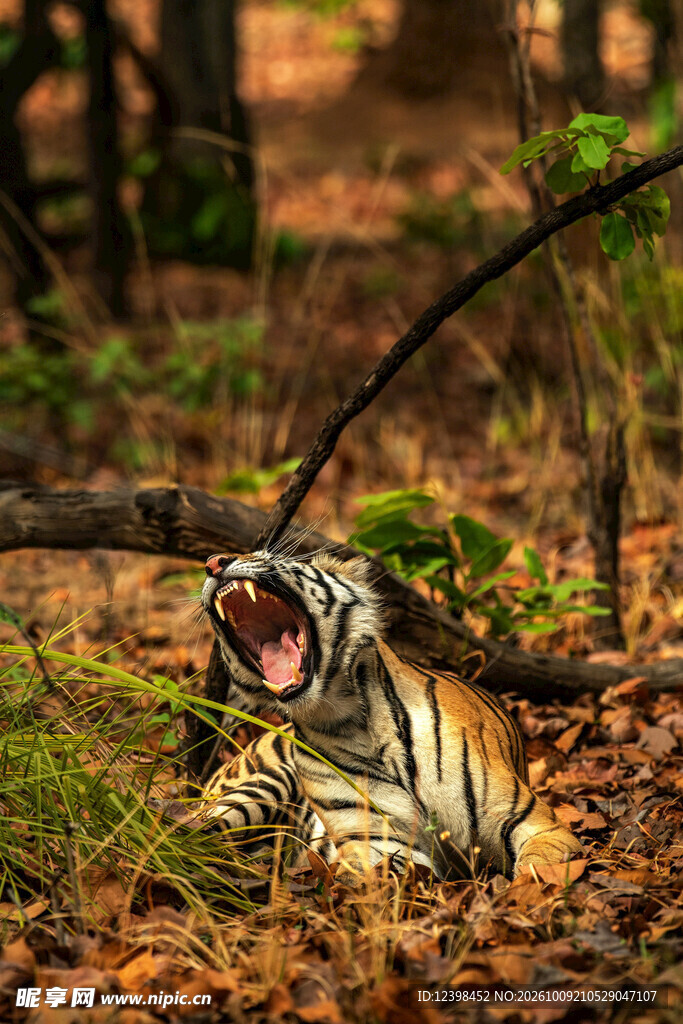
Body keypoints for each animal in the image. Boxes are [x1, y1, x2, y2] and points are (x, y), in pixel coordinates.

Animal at [199, 549, 582, 884]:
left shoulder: (532, 821)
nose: (213, 561)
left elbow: (538, 866)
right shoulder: (374, 840)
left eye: (263, 554)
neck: (344, 716)